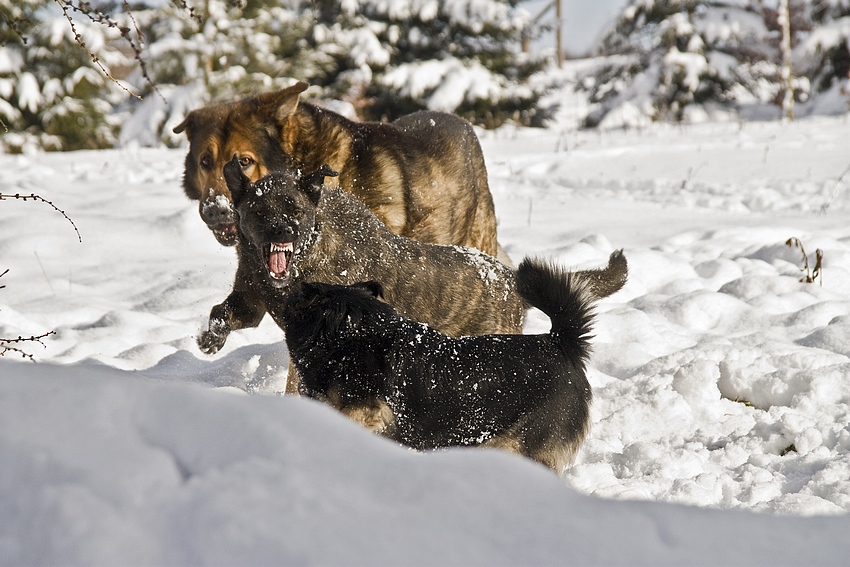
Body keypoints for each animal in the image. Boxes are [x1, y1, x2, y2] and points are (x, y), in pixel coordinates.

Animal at [197, 155, 624, 394]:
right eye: (258, 211)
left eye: (295, 210)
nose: (282, 233)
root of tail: (509, 280)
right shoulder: (250, 299)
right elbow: (222, 313)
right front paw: (210, 339)